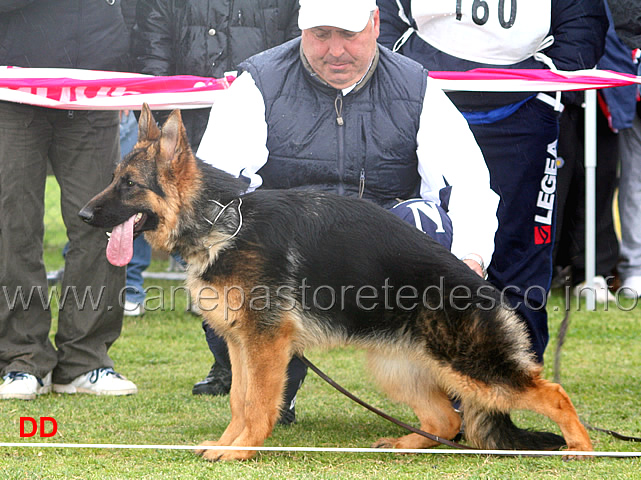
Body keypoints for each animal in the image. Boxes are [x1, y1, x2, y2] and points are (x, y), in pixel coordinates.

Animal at [79, 105, 592, 462]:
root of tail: (488, 289)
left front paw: (241, 451)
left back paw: (583, 450)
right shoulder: (243, 344)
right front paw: (228, 443)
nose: (82, 215)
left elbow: (258, 403)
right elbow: (240, 401)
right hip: (396, 367)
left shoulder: (265, 345)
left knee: (553, 393)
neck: (223, 222)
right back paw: (405, 443)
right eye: (115, 178)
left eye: (128, 184)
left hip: (473, 365)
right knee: (445, 419)